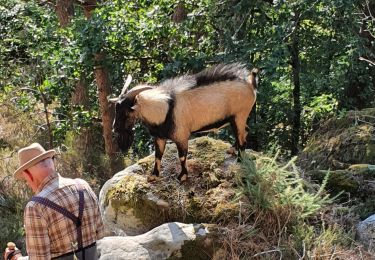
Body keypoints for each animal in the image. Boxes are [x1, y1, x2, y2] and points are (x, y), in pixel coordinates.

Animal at [110, 63, 260, 182]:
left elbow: (182, 156)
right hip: (236, 118)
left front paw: (182, 176)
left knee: (241, 138)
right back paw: (232, 149)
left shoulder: (181, 136)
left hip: (240, 115)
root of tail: (250, 83)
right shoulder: (159, 137)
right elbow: (158, 156)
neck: (165, 109)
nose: (114, 129)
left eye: (126, 112)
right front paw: (153, 176)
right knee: (245, 131)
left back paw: (240, 160)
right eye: (116, 109)